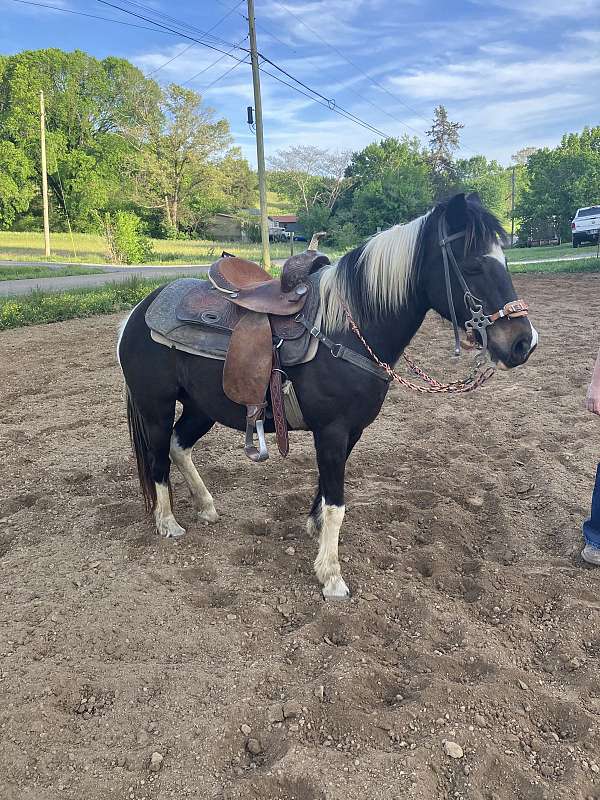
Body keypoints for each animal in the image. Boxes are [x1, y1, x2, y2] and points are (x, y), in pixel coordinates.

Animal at [117, 192, 537, 599]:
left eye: (504, 258)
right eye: (472, 265)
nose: (523, 343)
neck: (346, 331)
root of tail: (137, 313)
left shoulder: (350, 431)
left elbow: (325, 491)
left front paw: (314, 530)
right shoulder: (332, 430)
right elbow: (337, 503)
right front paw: (331, 576)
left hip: (203, 407)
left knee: (178, 445)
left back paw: (206, 506)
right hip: (155, 407)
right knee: (158, 458)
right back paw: (168, 523)